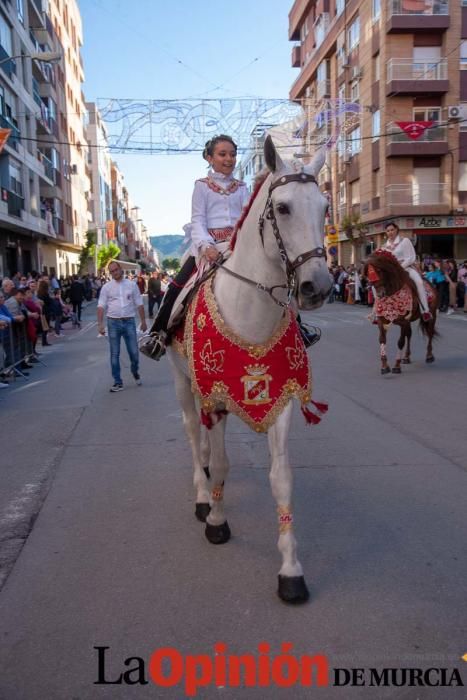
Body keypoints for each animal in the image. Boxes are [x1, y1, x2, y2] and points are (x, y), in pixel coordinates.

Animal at [168, 137, 332, 600]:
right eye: (282, 208)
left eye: (325, 207)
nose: (319, 287)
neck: (251, 310)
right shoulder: (218, 398)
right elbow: (224, 462)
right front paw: (216, 521)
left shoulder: (281, 397)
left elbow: (282, 478)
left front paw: (291, 571)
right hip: (182, 380)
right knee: (193, 432)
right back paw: (202, 493)